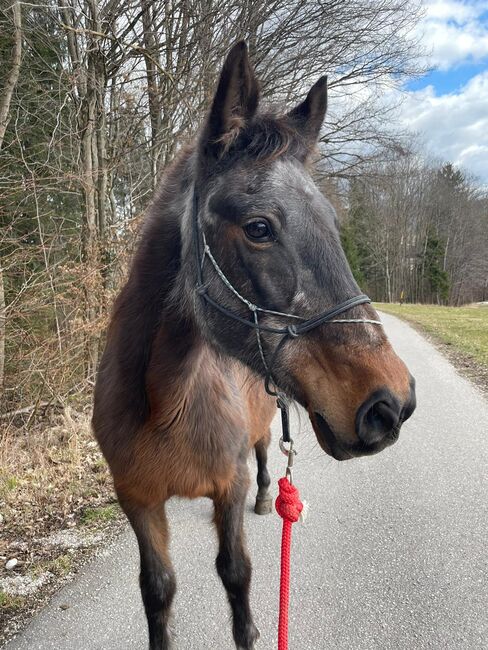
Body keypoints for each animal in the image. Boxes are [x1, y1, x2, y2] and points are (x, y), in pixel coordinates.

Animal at [92, 41, 416, 648]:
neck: (164, 403)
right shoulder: (137, 500)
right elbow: (158, 592)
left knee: (268, 449)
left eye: (331, 224)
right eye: (259, 228)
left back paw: (270, 496)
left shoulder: (228, 488)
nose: (391, 404)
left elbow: (237, 577)